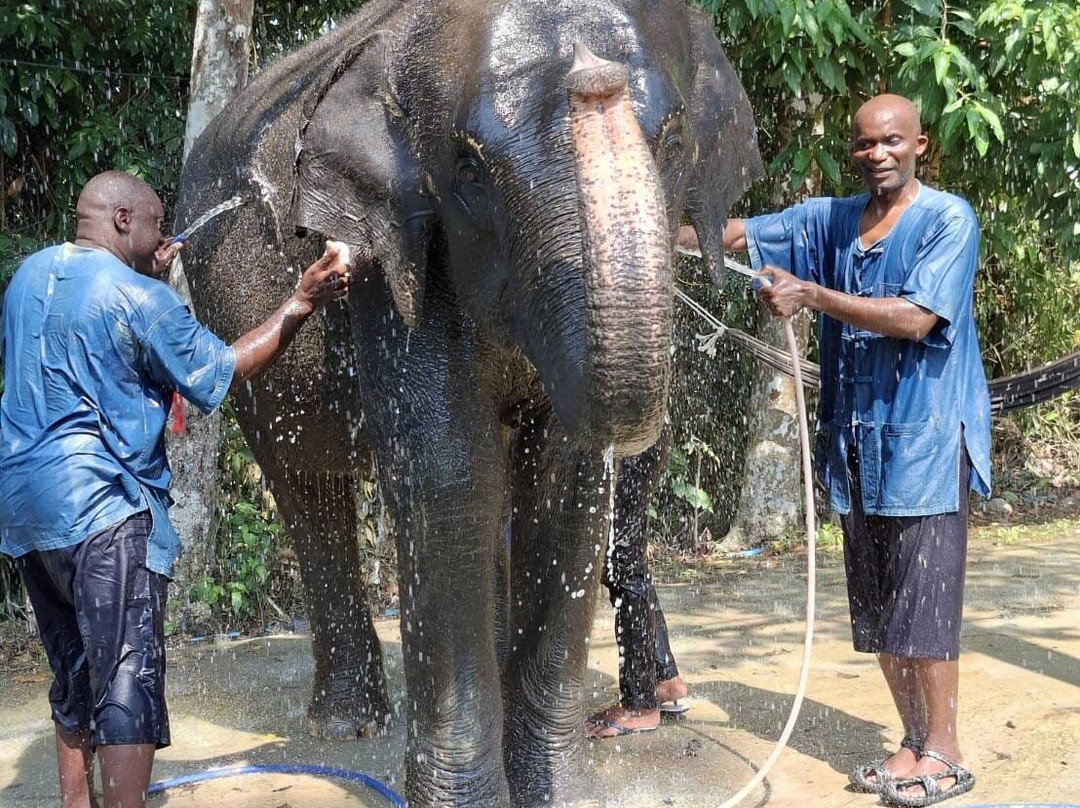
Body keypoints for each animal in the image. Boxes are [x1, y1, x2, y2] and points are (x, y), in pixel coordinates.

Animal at [177, 0, 762, 804]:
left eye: (675, 144)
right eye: (469, 171)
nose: (594, 79)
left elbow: (568, 483)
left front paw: (552, 791)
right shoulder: (398, 256)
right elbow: (448, 476)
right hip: (230, 326)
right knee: (308, 485)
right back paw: (344, 726)